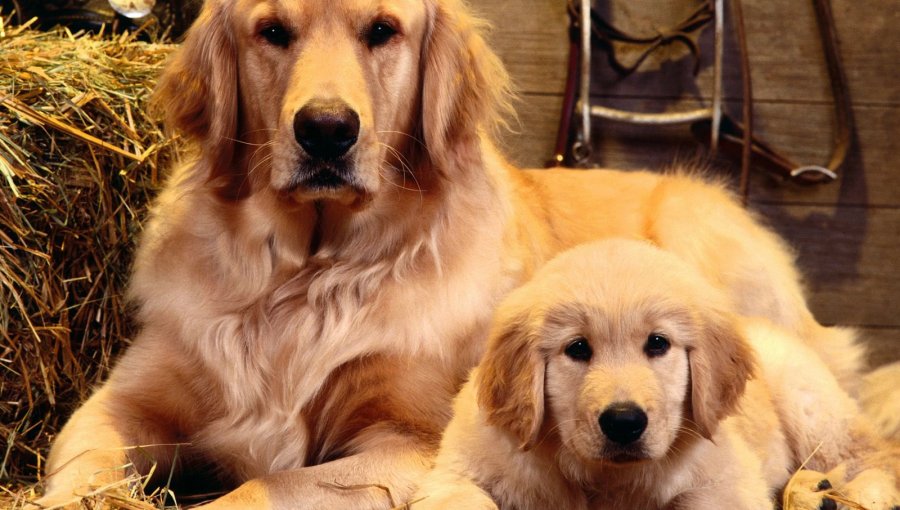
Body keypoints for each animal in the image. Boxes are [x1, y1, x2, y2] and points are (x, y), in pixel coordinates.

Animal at [414, 241, 892, 510]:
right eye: (578, 348)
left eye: (658, 344)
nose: (624, 422)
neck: (600, 477)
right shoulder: (457, 472)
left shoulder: (727, 481)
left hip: (812, 406)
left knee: (873, 454)